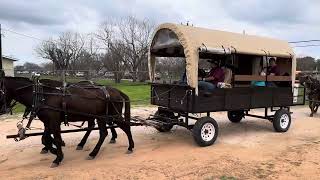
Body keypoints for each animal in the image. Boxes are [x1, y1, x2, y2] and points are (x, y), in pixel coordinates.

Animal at [0, 76, 133, 167]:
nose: (2, 110)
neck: (43, 95)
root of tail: (116, 91)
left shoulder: (54, 121)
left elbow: (56, 139)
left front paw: (58, 157)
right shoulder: (48, 122)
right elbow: (45, 139)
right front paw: (54, 151)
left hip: (113, 115)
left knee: (125, 127)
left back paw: (130, 147)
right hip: (101, 117)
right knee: (103, 133)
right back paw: (92, 152)